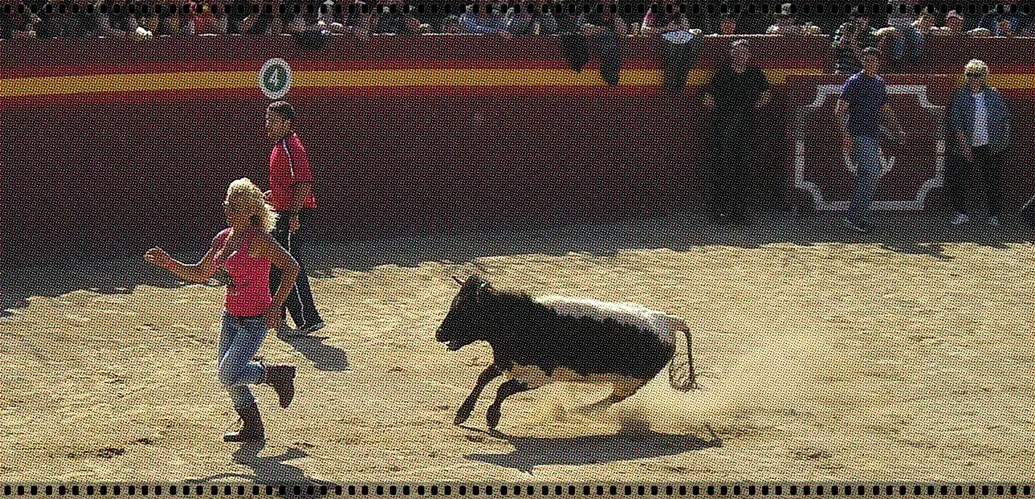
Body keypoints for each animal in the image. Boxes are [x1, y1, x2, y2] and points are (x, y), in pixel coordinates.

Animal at [435, 275, 698, 430]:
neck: (522, 319)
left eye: (466, 310)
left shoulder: (538, 376)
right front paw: (462, 414)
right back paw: (575, 411)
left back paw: (575, 411)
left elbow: (502, 389)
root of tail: (667, 320)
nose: (439, 334)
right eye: (454, 303)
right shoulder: (506, 362)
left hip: (631, 382)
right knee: (611, 400)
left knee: (612, 400)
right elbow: (483, 378)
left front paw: (492, 418)